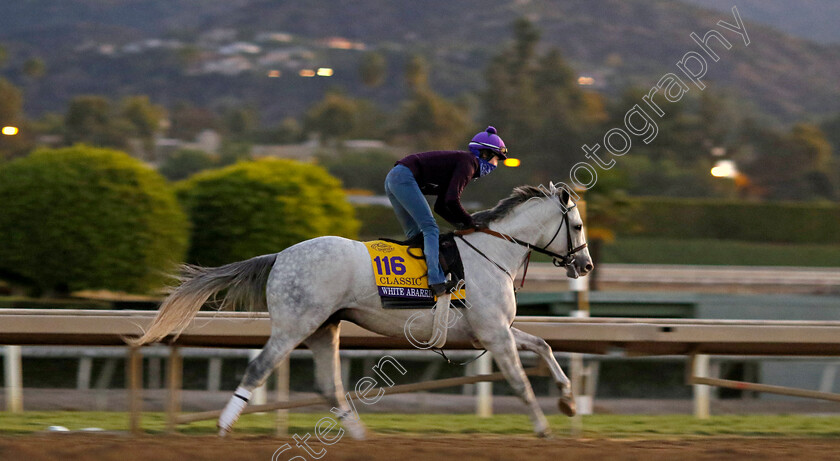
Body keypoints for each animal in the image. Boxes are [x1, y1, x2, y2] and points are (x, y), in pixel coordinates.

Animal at [130, 181, 592, 436]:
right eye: (577, 225)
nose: (585, 265)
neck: (492, 252)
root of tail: (280, 255)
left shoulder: (494, 329)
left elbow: (545, 346)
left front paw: (569, 402)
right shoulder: (494, 334)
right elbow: (520, 382)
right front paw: (544, 428)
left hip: (324, 328)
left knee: (328, 386)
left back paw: (360, 436)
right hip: (295, 325)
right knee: (260, 367)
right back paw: (224, 426)